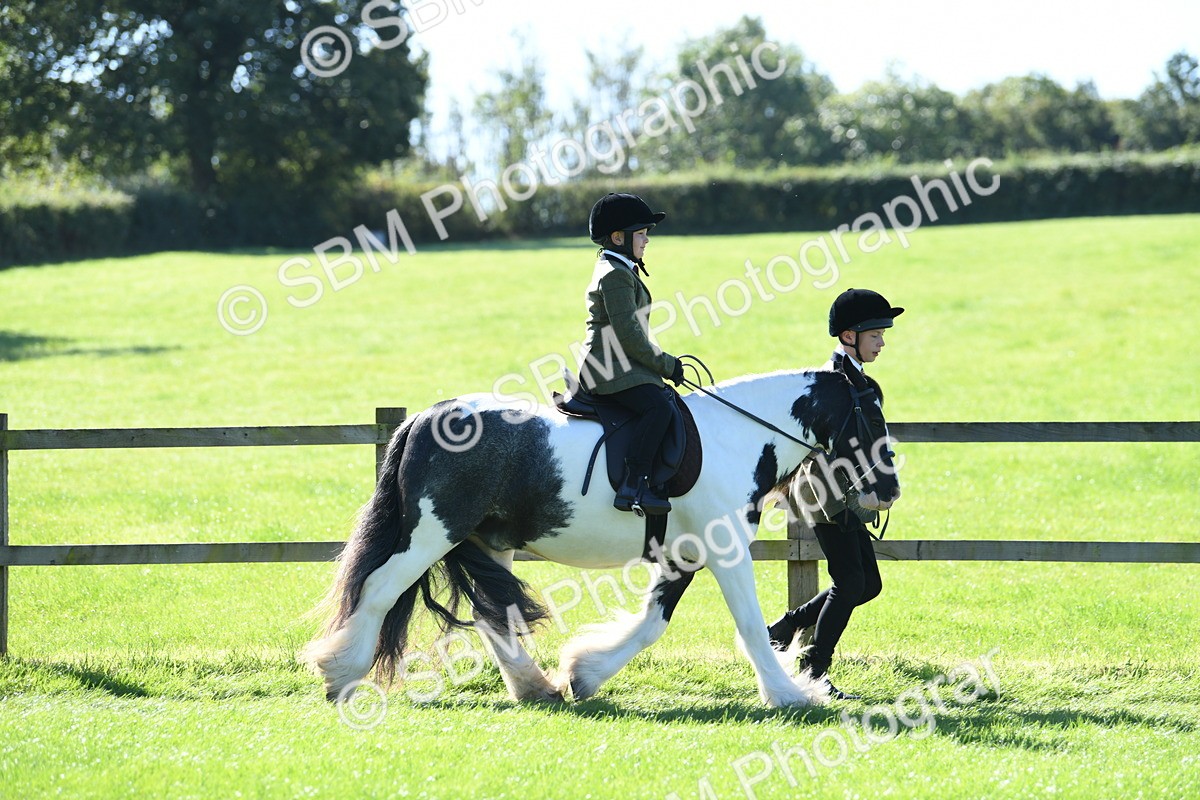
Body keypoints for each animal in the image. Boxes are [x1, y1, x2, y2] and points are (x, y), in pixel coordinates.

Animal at [301, 364, 900, 709]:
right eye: (872, 415)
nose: (887, 492)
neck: (738, 437)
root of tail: (426, 417)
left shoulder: (685, 555)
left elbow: (652, 624)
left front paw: (584, 674)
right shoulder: (726, 551)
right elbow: (752, 628)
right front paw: (791, 693)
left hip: (488, 543)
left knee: (494, 617)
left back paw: (536, 688)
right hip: (432, 533)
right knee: (379, 592)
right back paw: (340, 674)